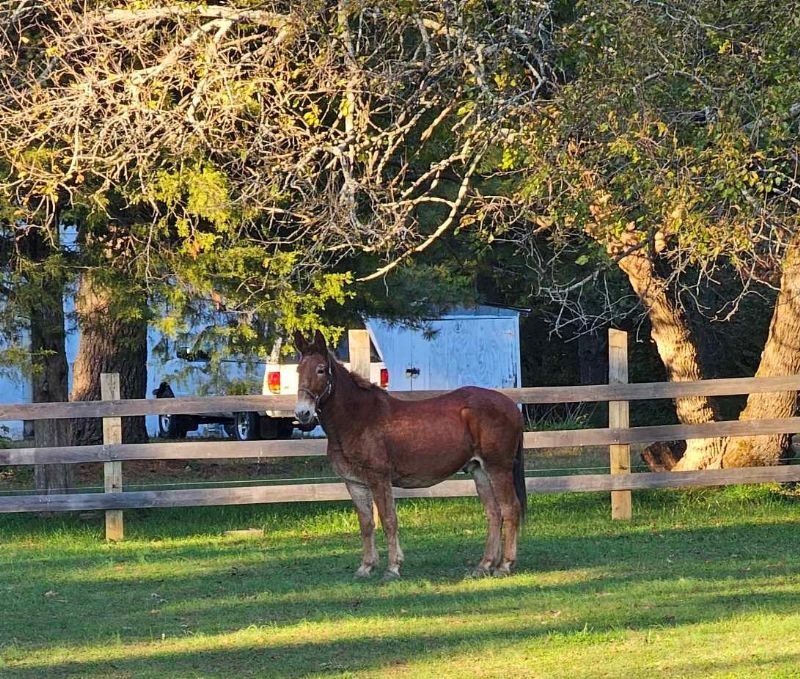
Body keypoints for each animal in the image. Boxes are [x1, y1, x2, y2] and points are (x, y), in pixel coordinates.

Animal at [293, 330, 526, 579]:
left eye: (320, 369)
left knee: (510, 509)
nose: (303, 413)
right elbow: (366, 524)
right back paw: (485, 565)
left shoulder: (379, 479)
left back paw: (504, 565)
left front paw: (393, 567)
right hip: (479, 470)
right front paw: (366, 567)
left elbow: (388, 520)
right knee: (494, 513)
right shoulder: (354, 483)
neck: (357, 419)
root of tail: (511, 405)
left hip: (498, 468)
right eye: (298, 370)